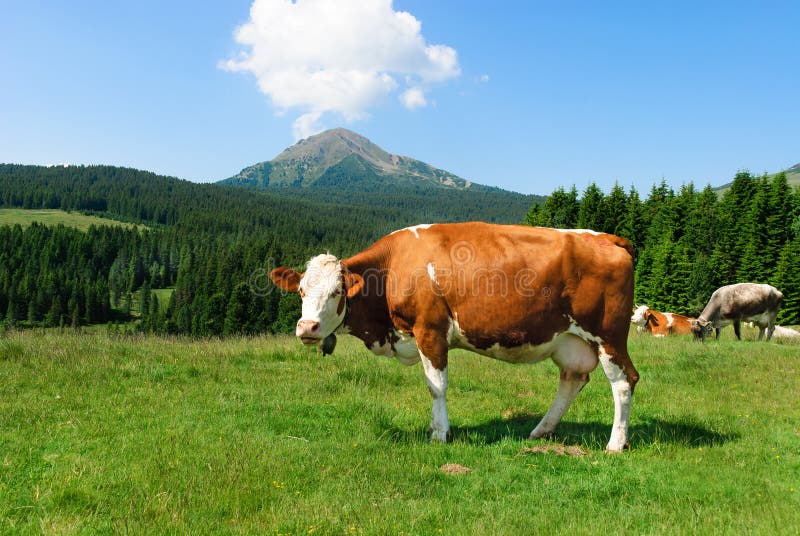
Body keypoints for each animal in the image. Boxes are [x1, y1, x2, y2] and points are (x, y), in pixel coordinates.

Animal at [270, 223, 640, 452]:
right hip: (570, 340)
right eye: (301, 290)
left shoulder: (430, 331)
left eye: (337, 292)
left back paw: (615, 444)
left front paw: (439, 434)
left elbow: (436, 386)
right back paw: (541, 430)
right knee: (572, 380)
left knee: (624, 382)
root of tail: (608, 238)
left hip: (608, 335)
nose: (307, 328)